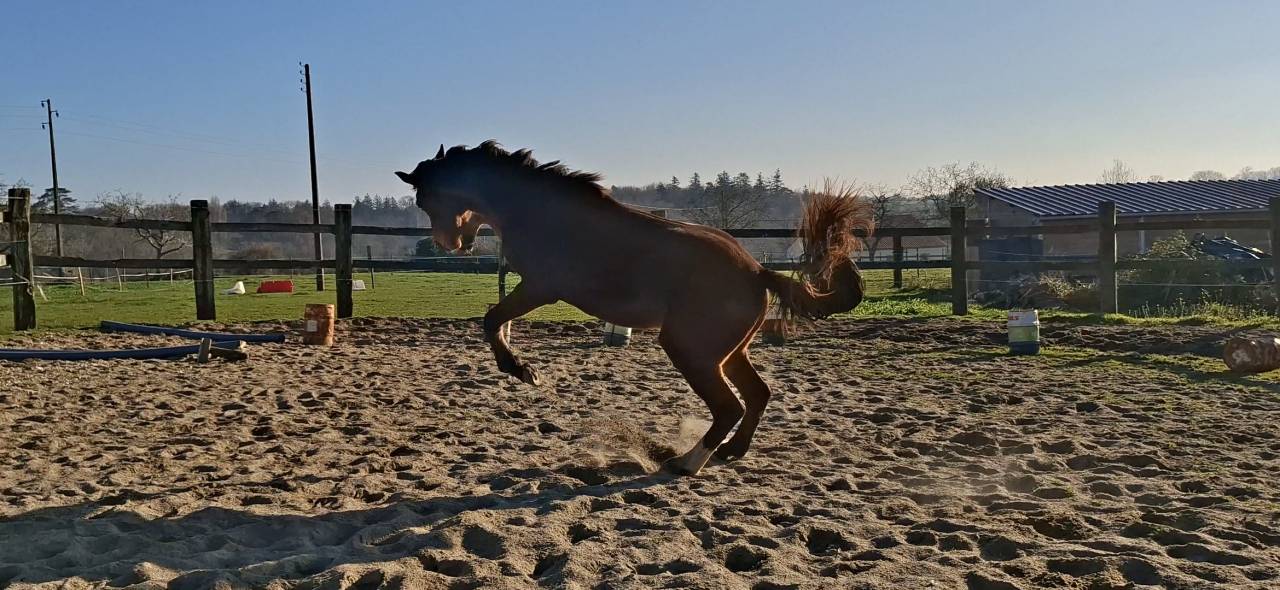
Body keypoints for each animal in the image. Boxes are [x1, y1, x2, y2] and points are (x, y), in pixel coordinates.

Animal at [397, 141, 872, 476]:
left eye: (425, 200)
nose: (449, 243)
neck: (537, 208)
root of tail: (758, 272)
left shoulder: (542, 287)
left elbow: (493, 319)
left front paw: (523, 371)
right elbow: (497, 319)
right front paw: (520, 366)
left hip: (691, 351)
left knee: (729, 408)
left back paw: (686, 463)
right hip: (729, 353)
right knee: (757, 395)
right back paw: (731, 452)